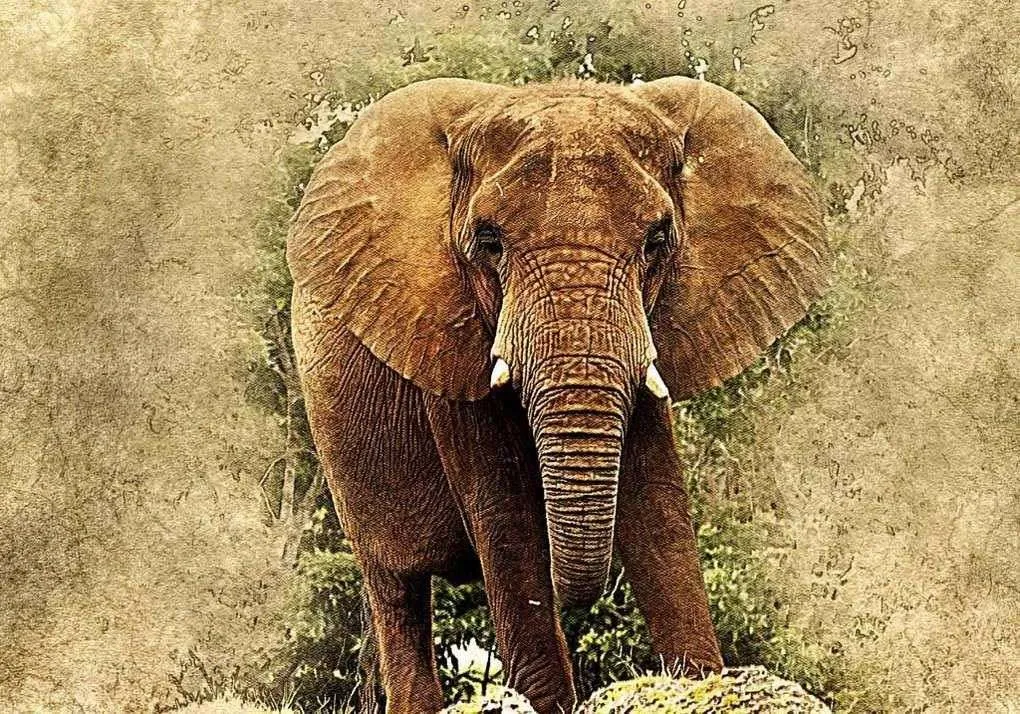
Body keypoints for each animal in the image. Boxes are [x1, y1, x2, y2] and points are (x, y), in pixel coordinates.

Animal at [286, 76, 829, 714]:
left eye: (658, 239)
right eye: (488, 241)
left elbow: (659, 507)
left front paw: (699, 683)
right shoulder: (442, 332)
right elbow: (508, 519)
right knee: (396, 591)